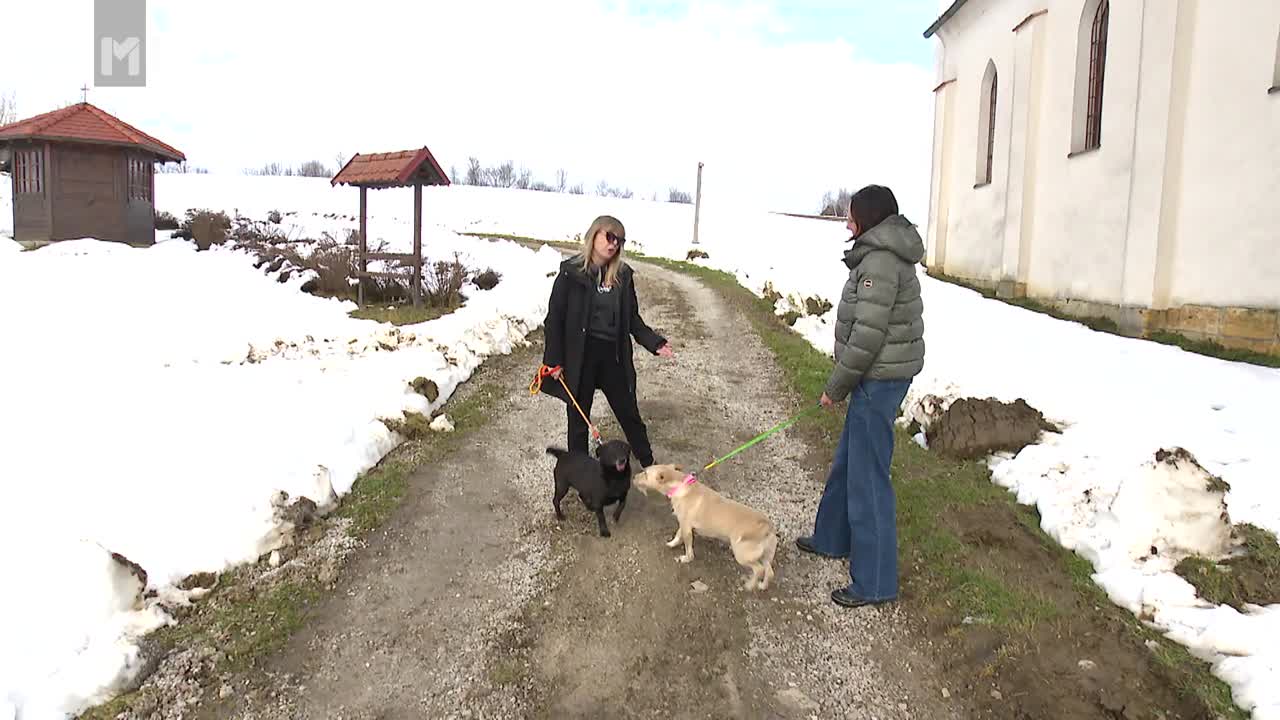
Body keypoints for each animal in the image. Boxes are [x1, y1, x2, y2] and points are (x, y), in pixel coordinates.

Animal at [633, 464, 778, 591]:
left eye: (645, 473)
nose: (633, 477)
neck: (680, 484)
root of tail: (767, 525)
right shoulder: (683, 523)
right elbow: (678, 535)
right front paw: (672, 543)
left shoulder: (686, 528)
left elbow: (688, 548)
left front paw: (686, 558)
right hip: (765, 555)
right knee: (769, 572)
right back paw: (762, 586)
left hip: (742, 554)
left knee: (759, 570)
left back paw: (750, 585)